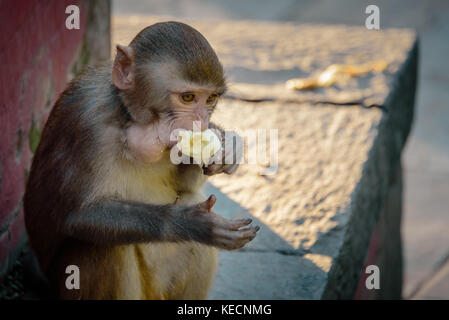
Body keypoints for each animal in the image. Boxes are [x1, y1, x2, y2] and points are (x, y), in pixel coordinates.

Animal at [23, 21, 260, 300]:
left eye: (210, 99)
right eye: (187, 97)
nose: (200, 122)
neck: (125, 114)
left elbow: (185, 186)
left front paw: (227, 146)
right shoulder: (86, 122)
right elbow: (79, 215)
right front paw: (193, 224)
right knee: (102, 245)